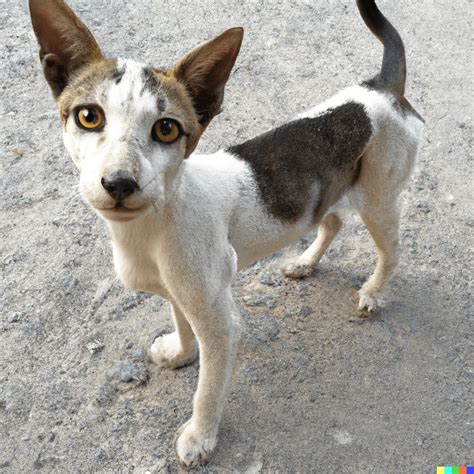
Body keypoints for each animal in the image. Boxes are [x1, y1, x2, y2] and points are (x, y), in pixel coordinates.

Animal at [28, 0, 422, 466]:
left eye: (166, 128)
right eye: (88, 116)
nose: (120, 183)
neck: (157, 222)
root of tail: (381, 89)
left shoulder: (220, 321)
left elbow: (207, 391)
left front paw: (200, 438)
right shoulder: (180, 290)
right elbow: (181, 323)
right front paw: (180, 353)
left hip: (379, 199)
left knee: (391, 251)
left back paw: (374, 293)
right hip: (325, 193)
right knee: (333, 221)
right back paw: (305, 263)